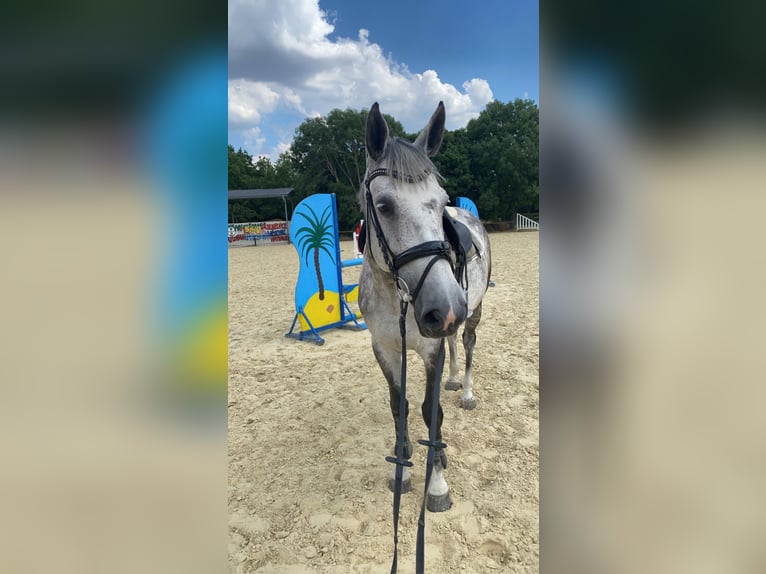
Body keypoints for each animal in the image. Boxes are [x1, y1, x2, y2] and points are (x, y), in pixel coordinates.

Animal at [358, 101, 492, 513]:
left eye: (441, 200)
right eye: (383, 205)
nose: (444, 308)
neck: (395, 296)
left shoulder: (430, 348)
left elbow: (430, 412)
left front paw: (436, 483)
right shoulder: (385, 348)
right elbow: (398, 406)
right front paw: (401, 472)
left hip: (473, 313)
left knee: (465, 344)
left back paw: (466, 391)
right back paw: (453, 379)